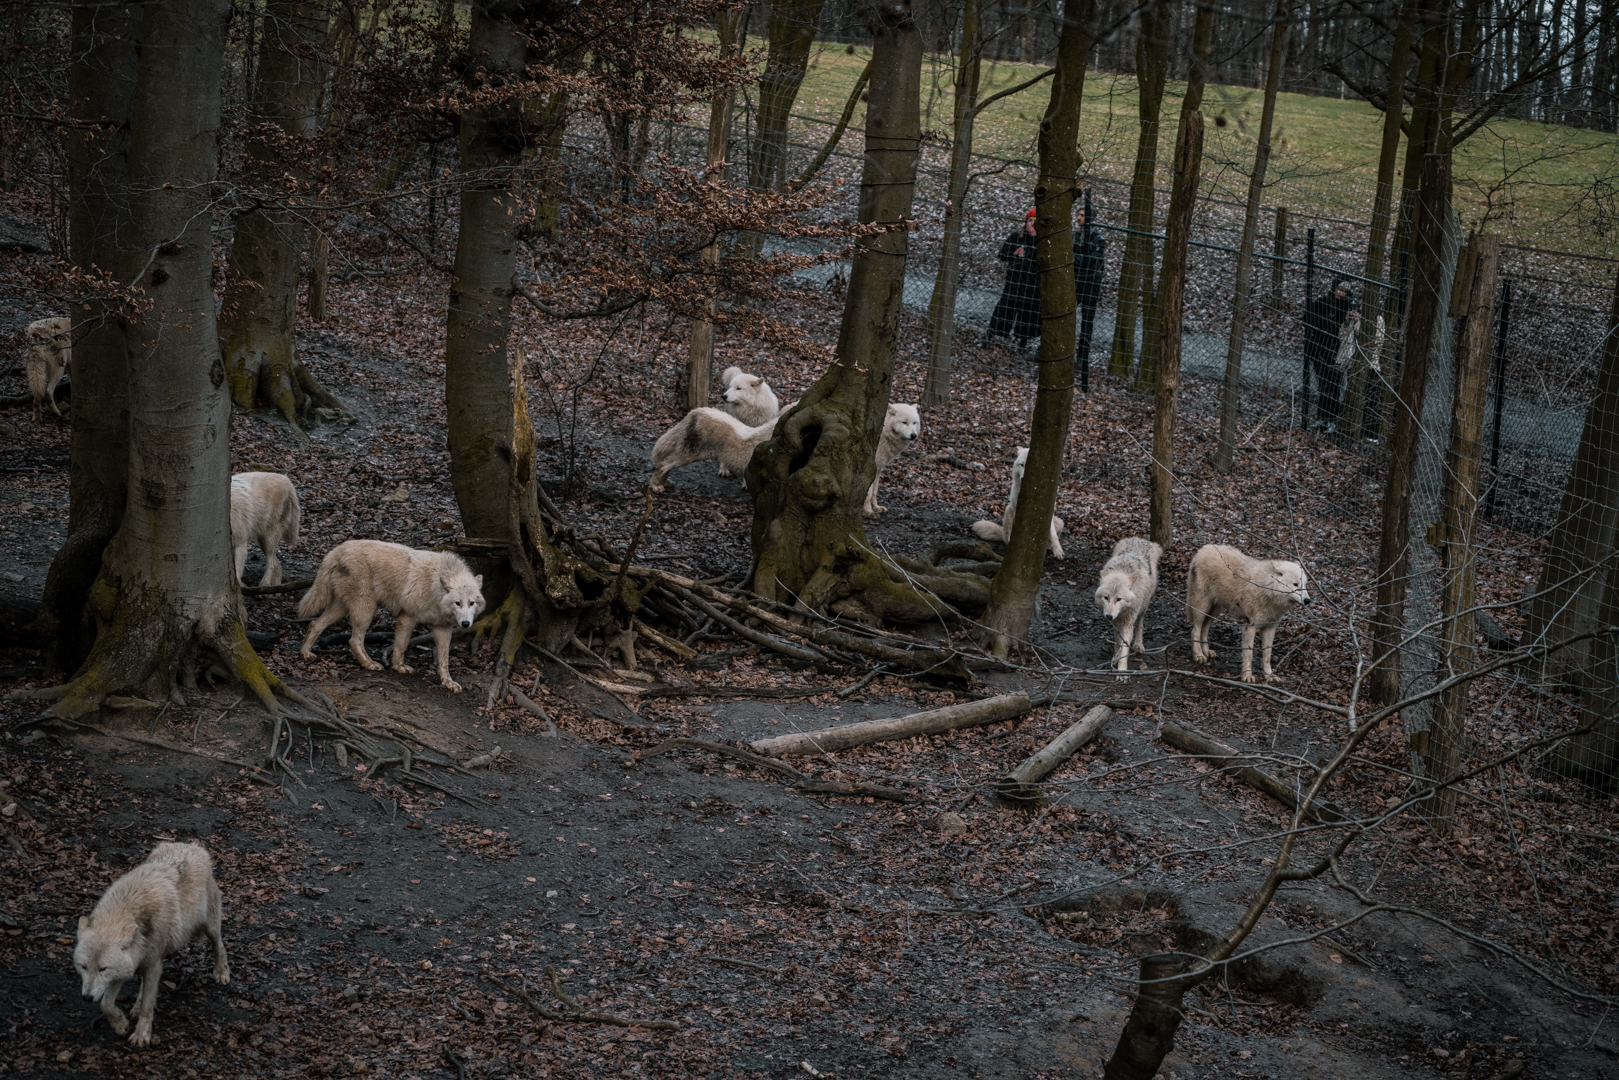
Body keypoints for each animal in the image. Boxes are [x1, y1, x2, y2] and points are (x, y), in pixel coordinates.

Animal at [74, 842, 229, 1048]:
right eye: (83, 967)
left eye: (102, 969)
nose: (87, 998)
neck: (129, 909)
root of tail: (191, 845)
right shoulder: (126, 966)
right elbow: (106, 1004)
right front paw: (121, 1025)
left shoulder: (151, 965)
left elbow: (148, 1005)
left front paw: (141, 1035)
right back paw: (135, 1007)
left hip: (209, 927)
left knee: (219, 944)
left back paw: (222, 972)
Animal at [298, 540, 486, 692]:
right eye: (458, 603)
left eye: (471, 603)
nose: (465, 623)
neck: (435, 588)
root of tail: (336, 550)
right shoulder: (408, 616)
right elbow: (401, 645)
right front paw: (398, 667)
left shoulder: (442, 628)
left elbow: (444, 659)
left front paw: (448, 682)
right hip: (366, 610)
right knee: (353, 640)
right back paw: (370, 664)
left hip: (342, 609)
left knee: (315, 624)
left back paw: (305, 652)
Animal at [649, 407, 778, 491]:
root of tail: (696, 411)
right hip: (688, 456)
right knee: (662, 465)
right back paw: (655, 487)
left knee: (665, 465)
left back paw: (664, 483)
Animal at [1094, 537, 1163, 673]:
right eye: (1106, 598)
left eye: (1119, 599)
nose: (1108, 616)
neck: (1122, 570)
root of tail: (1139, 538)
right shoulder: (1116, 621)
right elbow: (1117, 640)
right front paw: (1115, 658)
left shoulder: (1128, 620)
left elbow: (1124, 645)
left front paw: (1122, 671)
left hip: (1143, 605)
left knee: (1140, 623)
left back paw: (1138, 644)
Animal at [1186, 543, 1311, 683]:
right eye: (1295, 584)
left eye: (1305, 585)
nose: (1308, 601)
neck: (1267, 590)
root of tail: (1202, 549)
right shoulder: (1249, 626)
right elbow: (1249, 654)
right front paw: (1247, 676)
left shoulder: (1270, 627)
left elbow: (1267, 655)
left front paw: (1269, 676)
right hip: (1202, 607)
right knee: (1195, 630)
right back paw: (1199, 655)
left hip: (1214, 611)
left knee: (1204, 629)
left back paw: (1206, 652)